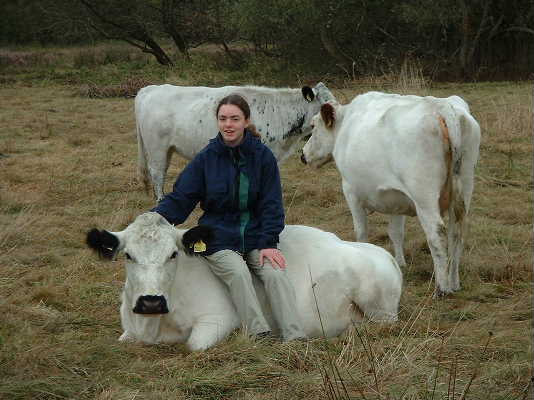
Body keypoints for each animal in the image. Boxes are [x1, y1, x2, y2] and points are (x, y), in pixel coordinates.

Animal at [86, 212, 404, 350]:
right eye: (128, 255)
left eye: (173, 254)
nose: (151, 301)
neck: (154, 325)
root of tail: (382, 253)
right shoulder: (129, 330)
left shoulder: (219, 319)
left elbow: (193, 345)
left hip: (379, 309)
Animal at [304, 92, 484, 296]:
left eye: (313, 126)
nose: (303, 155)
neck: (346, 124)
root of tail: (441, 106)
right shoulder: (397, 198)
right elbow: (396, 232)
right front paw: (400, 263)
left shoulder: (350, 191)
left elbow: (361, 231)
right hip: (465, 186)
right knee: (457, 232)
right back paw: (454, 282)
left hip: (424, 196)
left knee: (437, 234)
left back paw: (442, 288)